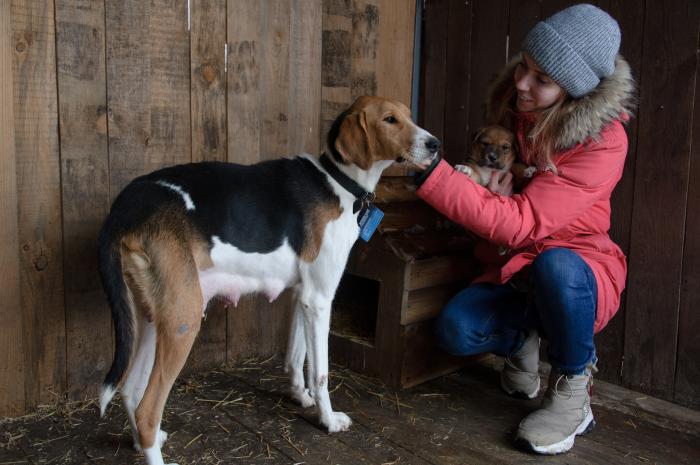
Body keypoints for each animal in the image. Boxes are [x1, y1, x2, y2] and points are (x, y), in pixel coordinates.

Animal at [96, 96, 440, 462]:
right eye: (390, 120)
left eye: (409, 115)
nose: (435, 145)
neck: (338, 181)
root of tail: (125, 206)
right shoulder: (320, 299)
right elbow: (320, 372)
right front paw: (328, 419)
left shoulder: (302, 296)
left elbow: (296, 356)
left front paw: (300, 396)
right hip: (183, 319)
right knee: (147, 406)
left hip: (154, 317)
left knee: (130, 390)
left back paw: (142, 442)